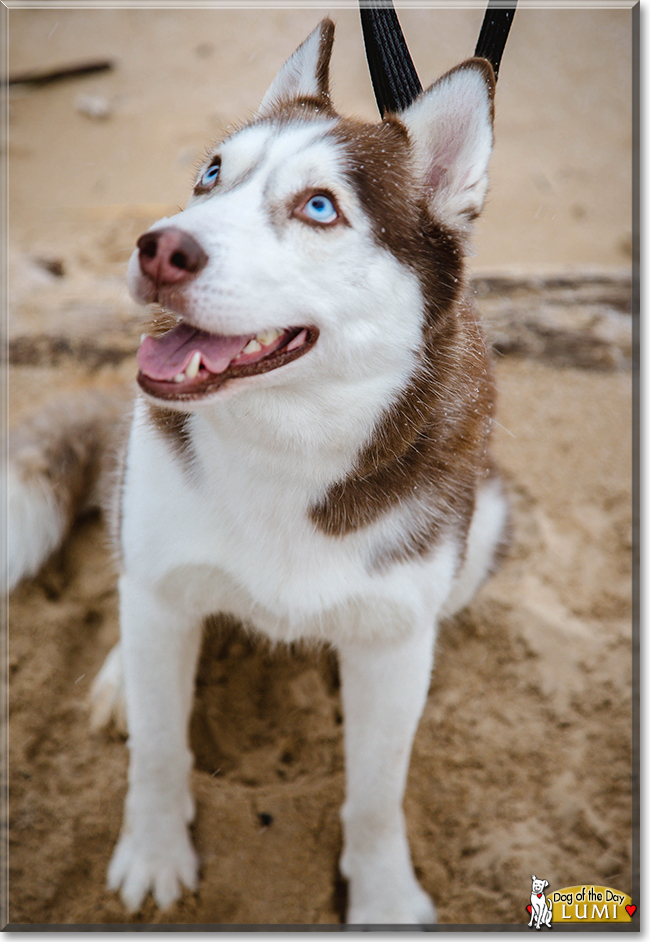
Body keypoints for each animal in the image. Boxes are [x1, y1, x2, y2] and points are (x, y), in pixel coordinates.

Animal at [7, 18, 508, 924]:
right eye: (210, 175)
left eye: (320, 207)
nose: (160, 248)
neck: (285, 446)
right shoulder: (162, 572)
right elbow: (160, 749)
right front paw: (154, 852)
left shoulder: (397, 633)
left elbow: (377, 793)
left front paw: (383, 894)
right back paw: (124, 676)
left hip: (484, 524)